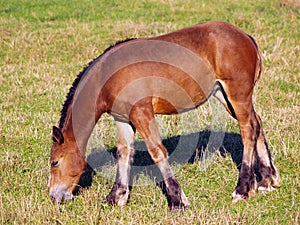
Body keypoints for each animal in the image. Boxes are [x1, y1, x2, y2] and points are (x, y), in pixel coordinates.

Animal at [48, 20, 280, 210]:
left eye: (54, 162)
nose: (53, 197)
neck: (107, 75)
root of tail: (245, 36)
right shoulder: (122, 118)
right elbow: (124, 152)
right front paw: (116, 198)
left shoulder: (142, 112)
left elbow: (157, 152)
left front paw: (177, 201)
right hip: (224, 95)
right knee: (256, 123)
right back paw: (267, 180)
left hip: (237, 95)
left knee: (248, 130)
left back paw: (243, 189)